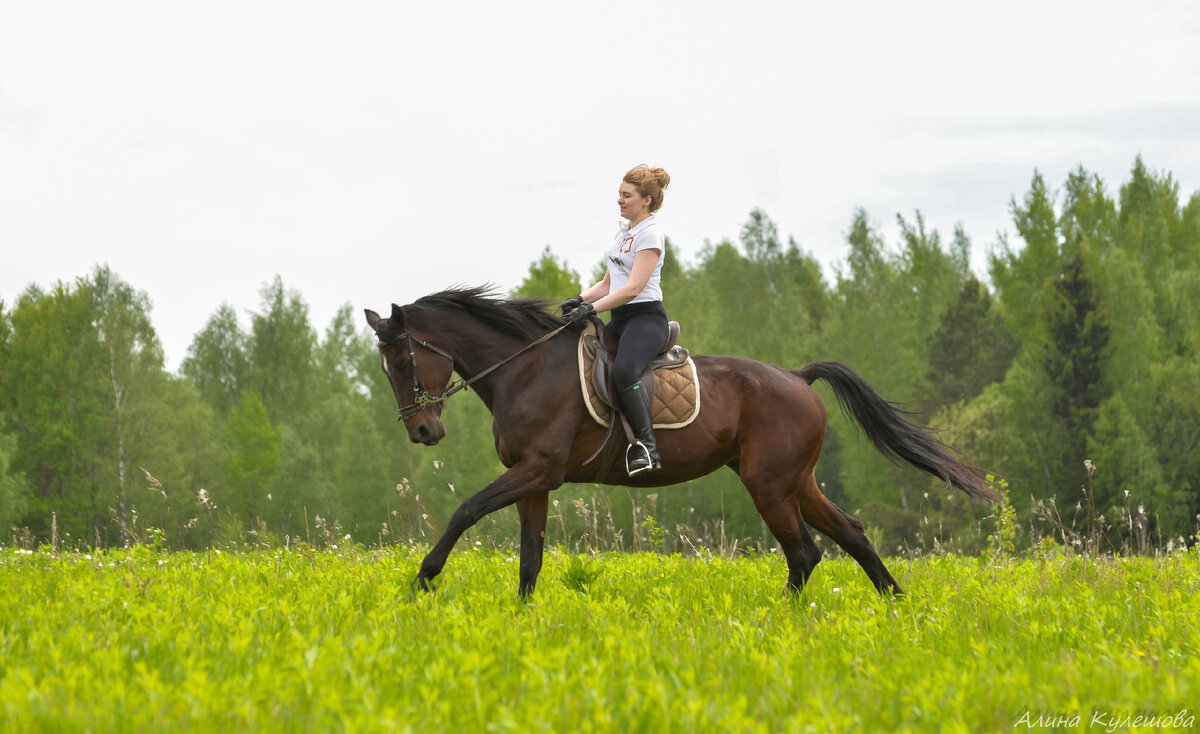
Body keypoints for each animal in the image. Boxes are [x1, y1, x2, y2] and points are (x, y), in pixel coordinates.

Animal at [362, 284, 993, 599]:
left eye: (404, 359)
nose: (423, 431)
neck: (526, 369)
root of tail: (797, 378)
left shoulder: (537, 469)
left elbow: (465, 511)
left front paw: (421, 582)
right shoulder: (534, 480)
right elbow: (530, 558)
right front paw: (524, 618)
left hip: (770, 484)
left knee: (805, 552)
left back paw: (780, 622)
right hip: (795, 480)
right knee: (851, 536)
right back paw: (897, 605)